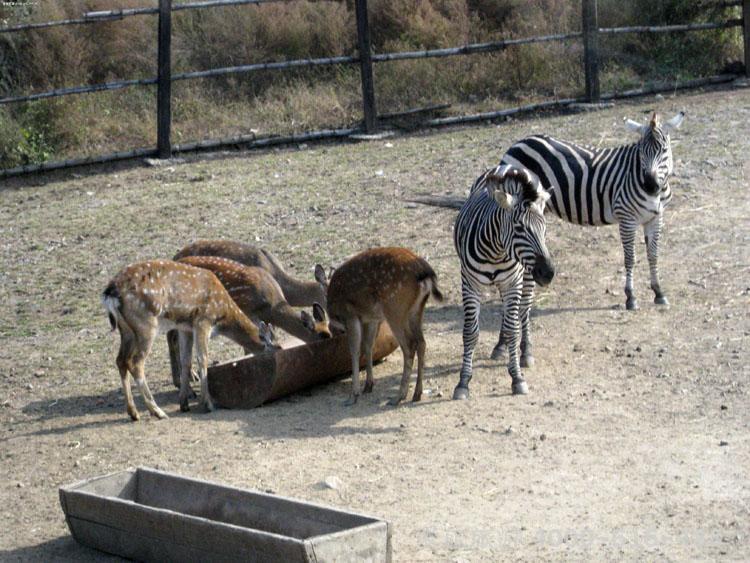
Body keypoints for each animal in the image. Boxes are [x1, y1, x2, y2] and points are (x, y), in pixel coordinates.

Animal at [103, 258, 280, 418]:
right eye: (274, 347)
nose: (280, 351)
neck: (223, 313)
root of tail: (110, 292)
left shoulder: (185, 328)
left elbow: (186, 360)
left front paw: (184, 403)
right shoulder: (203, 320)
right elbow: (202, 358)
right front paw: (207, 403)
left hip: (126, 330)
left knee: (121, 360)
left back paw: (133, 413)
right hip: (145, 324)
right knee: (136, 362)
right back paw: (157, 411)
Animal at [324, 247, 444, 406]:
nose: (333, 331)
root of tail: (425, 273)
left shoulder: (350, 315)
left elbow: (354, 351)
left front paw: (353, 395)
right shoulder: (370, 319)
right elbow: (368, 346)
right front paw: (368, 386)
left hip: (395, 309)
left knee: (409, 345)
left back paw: (399, 396)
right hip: (416, 311)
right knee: (421, 342)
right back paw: (416, 394)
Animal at [456, 164, 556, 400]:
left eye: (544, 228)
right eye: (519, 228)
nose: (548, 273)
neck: (496, 251)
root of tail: (510, 166)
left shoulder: (513, 283)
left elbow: (513, 329)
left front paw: (517, 378)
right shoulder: (470, 284)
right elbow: (470, 332)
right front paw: (463, 382)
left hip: (525, 277)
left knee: (524, 310)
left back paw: (525, 352)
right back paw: (500, 346)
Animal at [494, 111, 688, 362]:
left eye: (664, 150)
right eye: (640, 152)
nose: (650, 184)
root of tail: (518, 143)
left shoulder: (656, 218)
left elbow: (653, 256)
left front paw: (658, 292)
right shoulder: (626, 217)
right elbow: (630, 259)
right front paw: (631, 297)